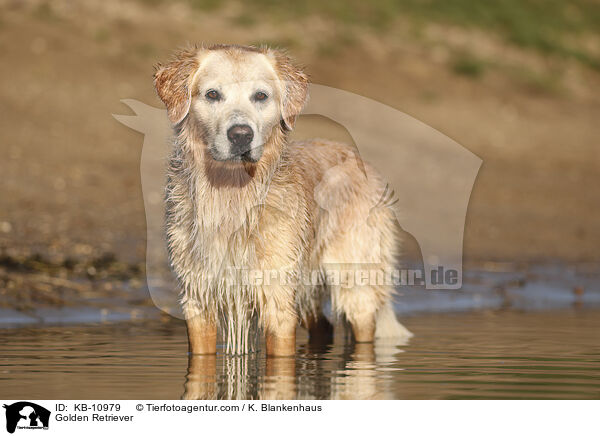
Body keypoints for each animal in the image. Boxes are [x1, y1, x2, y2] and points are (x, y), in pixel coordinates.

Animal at [152, 44, 410, 356]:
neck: (232, 192)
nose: (241, 135)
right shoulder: (198, 298)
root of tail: (363, 162)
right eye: (212, 94)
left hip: (354, 280)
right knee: (323, 325)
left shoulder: (277, 296)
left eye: (261, 96)